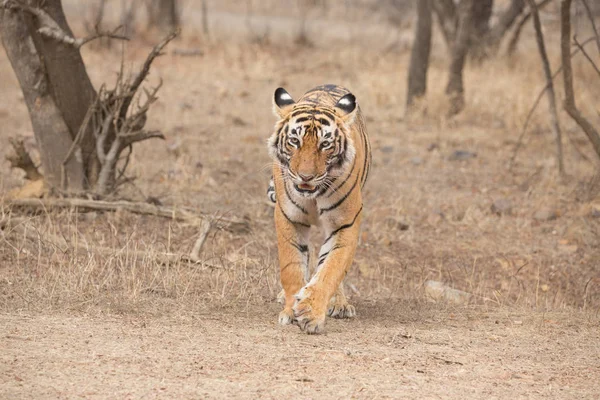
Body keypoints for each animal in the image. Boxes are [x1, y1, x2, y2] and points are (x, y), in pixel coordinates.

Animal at [268, 84, 370, 334]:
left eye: (325, 144)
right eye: (294, 141)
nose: (306, 177)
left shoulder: (345, 223)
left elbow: (331, 269)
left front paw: (310, 312)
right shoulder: (289, 218)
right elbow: (292, 266)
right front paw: (290, 311)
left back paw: (339, 304)